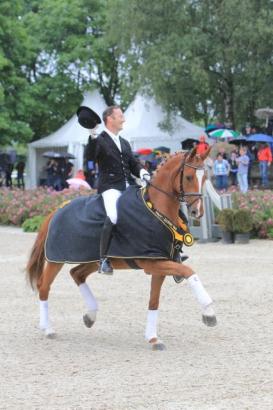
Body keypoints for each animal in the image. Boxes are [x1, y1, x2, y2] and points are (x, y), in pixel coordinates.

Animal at [26, 147, 217, 350]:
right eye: (188, 177)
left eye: (205, 177)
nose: (197, 212)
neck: (156, 210)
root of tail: (58, 209)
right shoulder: (152, 263)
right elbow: (189, 272)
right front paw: (209, 313)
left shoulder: (160, 263)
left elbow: (154, 300)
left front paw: (153, 338)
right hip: (57, 260)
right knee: (44, 286)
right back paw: (48, 328)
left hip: (92, 260)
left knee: (77, 274)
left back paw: (90, 315)